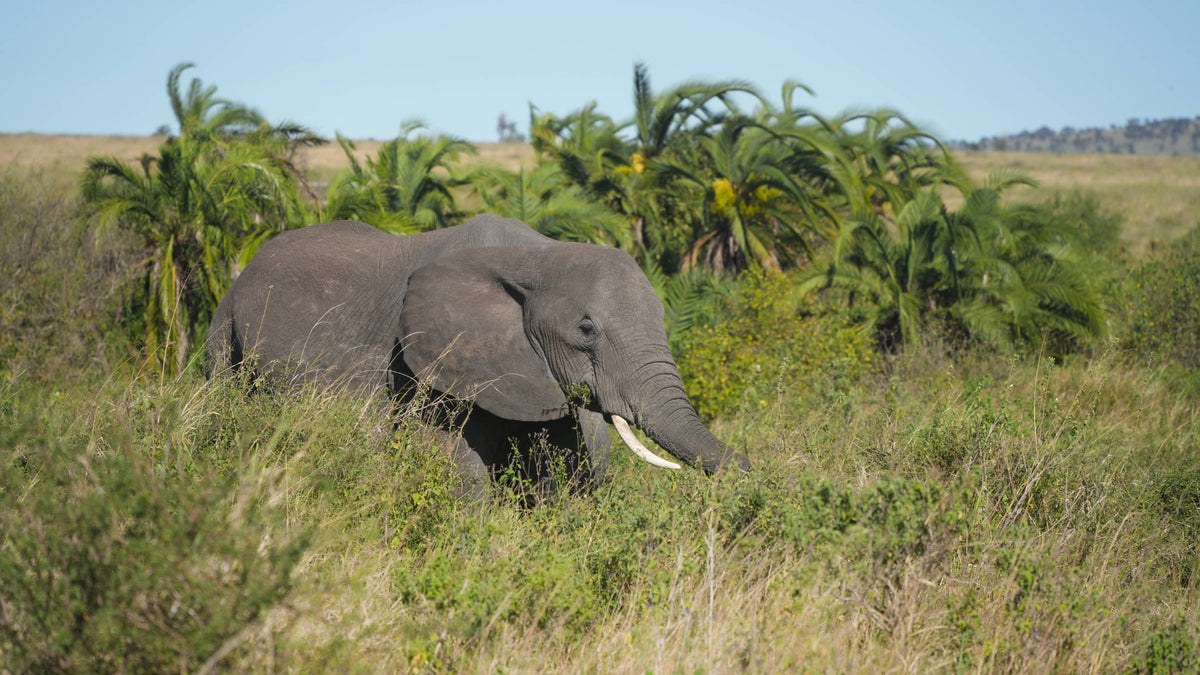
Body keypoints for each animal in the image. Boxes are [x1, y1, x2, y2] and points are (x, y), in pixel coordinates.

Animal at [205, 214, 749, 493]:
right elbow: (454, 464)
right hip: (223, 334)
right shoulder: (429, 362)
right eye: (586, 329)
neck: (535, 256)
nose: (754, 471)